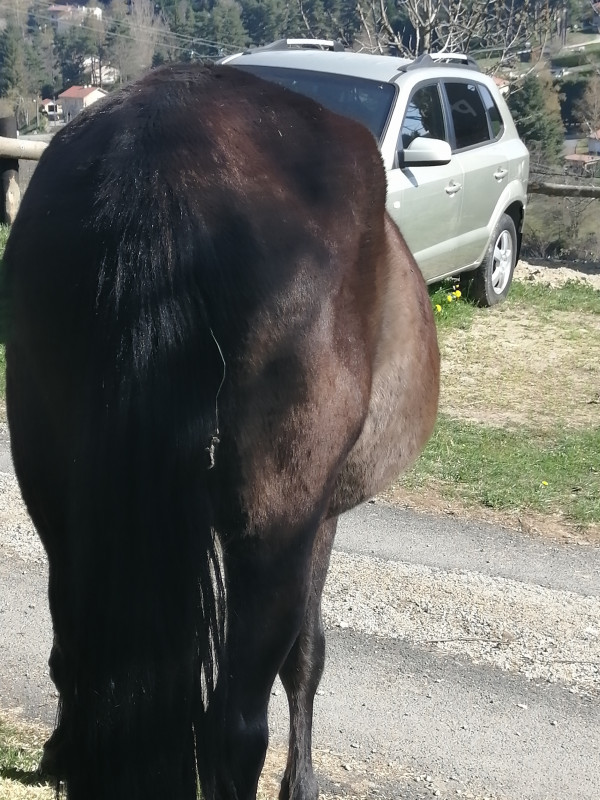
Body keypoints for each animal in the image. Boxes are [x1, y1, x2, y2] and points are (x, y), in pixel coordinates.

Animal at [3, 62, 439, 800]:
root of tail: (166, 150)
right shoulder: (319, 520)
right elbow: (309, 656)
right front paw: (303, 782)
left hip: (51, 485)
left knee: (73, 645)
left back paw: (64, 752)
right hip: (274, 523)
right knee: (238, 724)